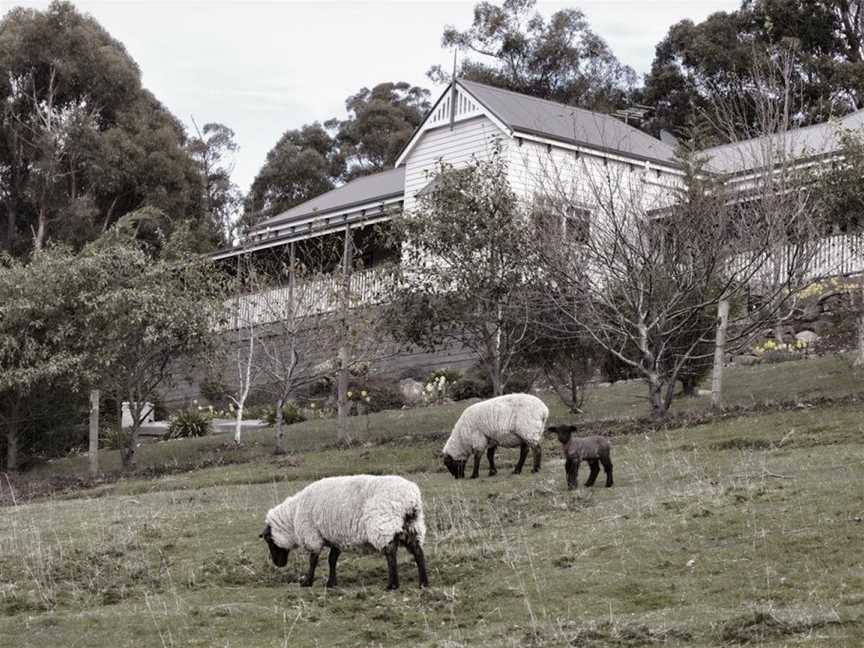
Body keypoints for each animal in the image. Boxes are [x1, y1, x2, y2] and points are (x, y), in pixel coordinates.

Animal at [260, 474, 428, 588]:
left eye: (268, 540)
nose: (278, 564)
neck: (293, 515)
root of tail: (410, 500)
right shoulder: (336, 537)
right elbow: (332, 560)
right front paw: (331, 583)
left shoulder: (312, 535)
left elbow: (313, 560)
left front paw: (307, 582)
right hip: (413, 527)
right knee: (418, 552)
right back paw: (423, 583)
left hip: (384, 525)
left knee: (391, 553)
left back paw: (392, 585)